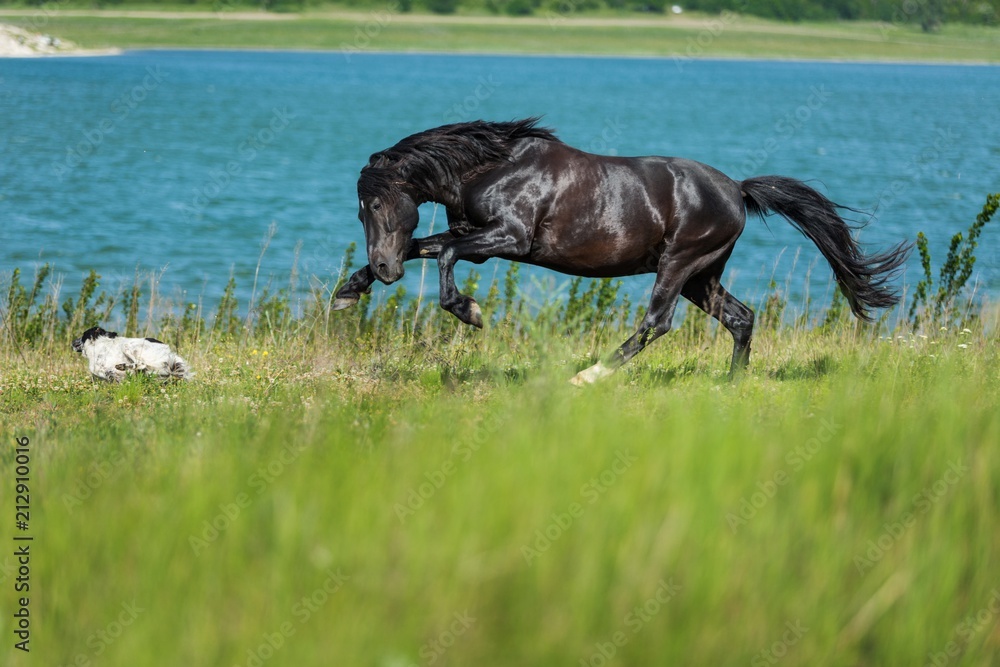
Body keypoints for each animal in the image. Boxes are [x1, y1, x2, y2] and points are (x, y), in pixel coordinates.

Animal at [334, 117, 908, 384]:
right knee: (740, 318)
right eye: (360, 209)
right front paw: (349, 290)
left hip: (679, 264)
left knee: (657, 322)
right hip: (702, 276)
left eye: (378, 204)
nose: (384, 269)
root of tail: (737, 191)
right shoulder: (479, 242)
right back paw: (730, 383)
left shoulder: (509, 238)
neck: (494, 167)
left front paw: (470, 312)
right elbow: (429, 247)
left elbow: (444, 255)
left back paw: (585, 377)